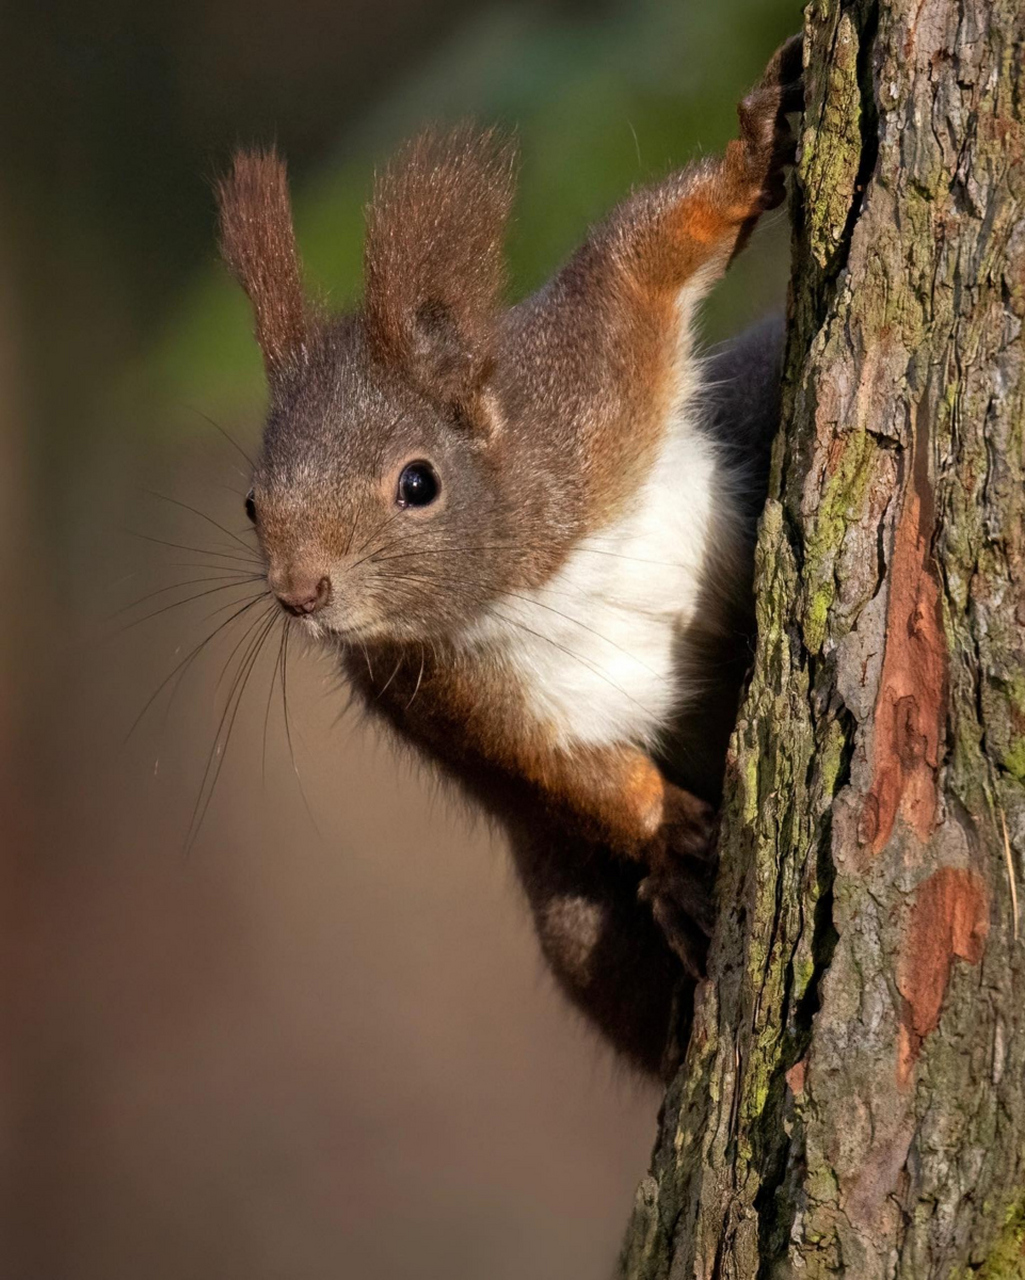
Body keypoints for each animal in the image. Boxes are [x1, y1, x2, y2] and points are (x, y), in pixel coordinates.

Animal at [217, 40, 798, 1075]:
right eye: (253, 503)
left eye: (417, 483)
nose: (301, 593)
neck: (528, 576)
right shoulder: (438, 691)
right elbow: (557, 768)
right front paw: (668, 835)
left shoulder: (590, 388)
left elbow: (635, 257)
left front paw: (757, 141)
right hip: (574, 920)